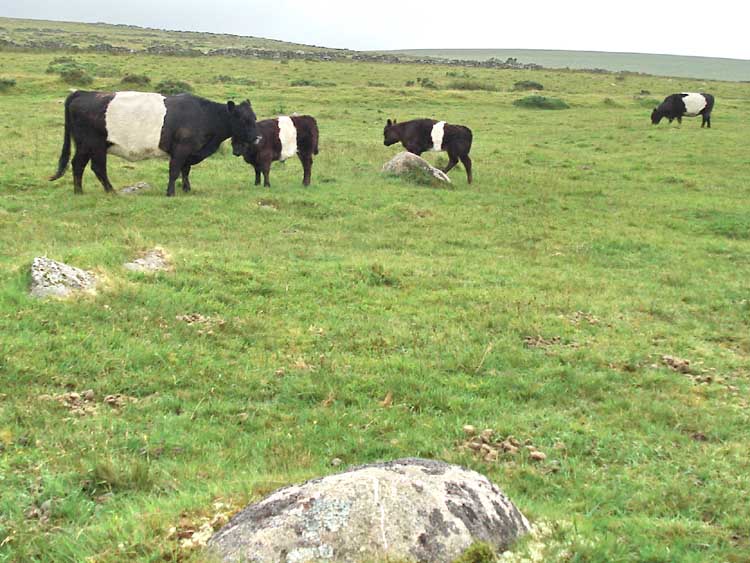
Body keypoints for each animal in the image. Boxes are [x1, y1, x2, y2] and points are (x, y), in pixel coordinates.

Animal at [50, 91, 258, 197]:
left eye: (254, 118)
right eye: (243, 120)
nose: (257, 138)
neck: (205, 115)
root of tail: (83, 93)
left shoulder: (189, 152)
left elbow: (185, 171)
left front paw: (187, 189)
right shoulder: (181, 149)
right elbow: (175, 170)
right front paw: (171, 193)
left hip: (84, 146)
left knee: (78, 165)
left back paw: (79, 191)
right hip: (94, 144)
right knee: (97, 167)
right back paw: (111, 191)